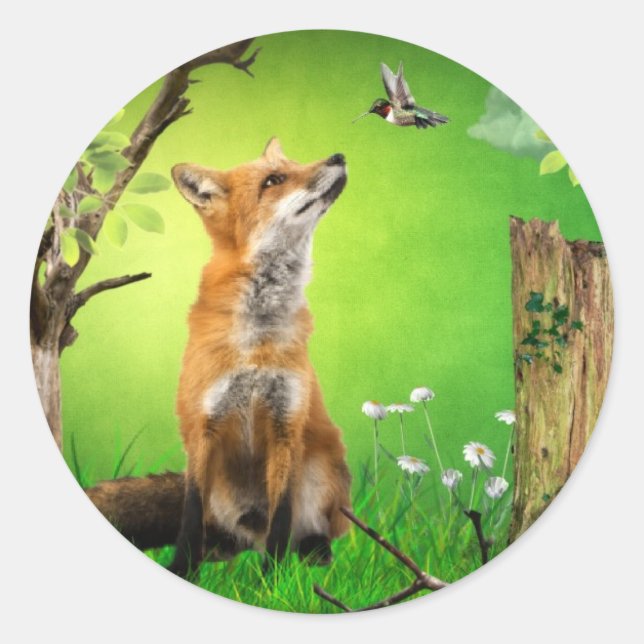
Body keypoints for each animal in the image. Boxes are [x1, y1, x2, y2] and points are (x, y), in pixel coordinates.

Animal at [168, 138, 352, 577]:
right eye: (274, 180)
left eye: (294, 163)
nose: (338, 156)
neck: (256, 345)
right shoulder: (203, 426)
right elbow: (190, 514)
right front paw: (183, 570)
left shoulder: (286, 424)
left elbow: (281, 517)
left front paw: (274, 582)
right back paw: (220, 552)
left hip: (323, 473)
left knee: (312, 531)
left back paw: (314, 556)